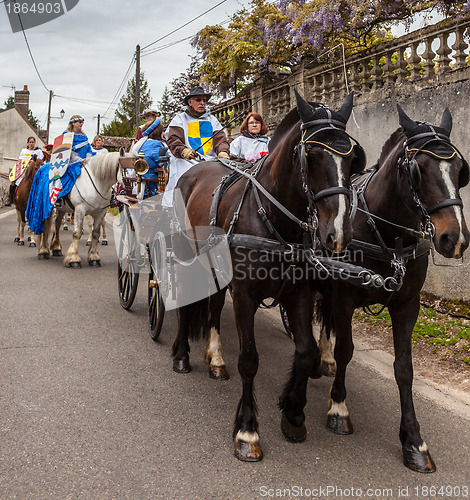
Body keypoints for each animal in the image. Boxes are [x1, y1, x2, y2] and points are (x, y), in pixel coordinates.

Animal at [170, 91, 368, 460]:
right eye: (311, 155)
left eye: (352, 159)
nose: (338, 235)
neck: (274, 217)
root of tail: (199, 167)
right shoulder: (245, 294)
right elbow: (250, 359)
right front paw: (248, 430)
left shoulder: (298, 292)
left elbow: (305, 352)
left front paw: (293, 413)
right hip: (187, 254)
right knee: (188, 303)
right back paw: (180, 354)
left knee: (214, 307)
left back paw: (215, 358)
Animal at [318, 104, 468, 472]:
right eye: (418, 169)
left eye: (461, 169)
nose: (455, 238)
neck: (388, 233)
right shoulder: (344, 297)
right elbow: (346, 350)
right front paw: (338, 408)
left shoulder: (406, 305)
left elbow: (404, 369)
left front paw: (413, 439)